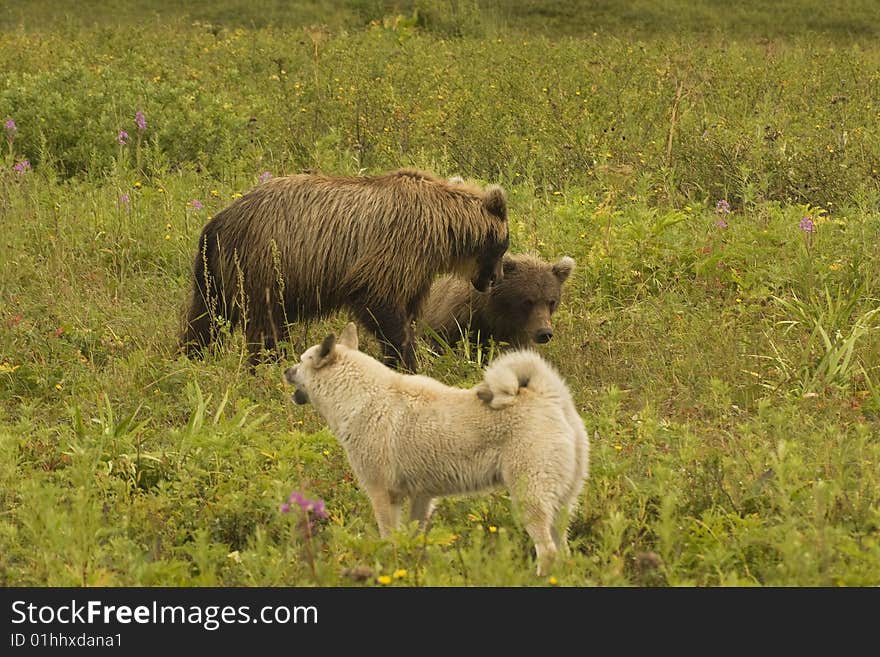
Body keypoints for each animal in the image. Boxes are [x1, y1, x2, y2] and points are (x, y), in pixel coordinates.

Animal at [180, 167, 508, 368]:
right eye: (502, 247)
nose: (495, 279)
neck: (441, 230)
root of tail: (216, 222)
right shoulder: (396, 250)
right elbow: (381, 307)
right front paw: (406, 359)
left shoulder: (416, 273)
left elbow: (409, 312)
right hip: (264, 267)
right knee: (265, 327)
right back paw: (266, 365)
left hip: (216, 272)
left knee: (205, 317)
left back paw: (191, 356)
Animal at [286, 322, 588, 576]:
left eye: (301, 360)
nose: (286, 370)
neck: (360, 396)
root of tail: (549, 396)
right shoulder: (421, 497)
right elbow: (413, 537)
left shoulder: (382, 494)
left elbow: (389, 538)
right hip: (560, 504)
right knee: (563, 550)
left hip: (530, 498)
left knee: (547, 551)